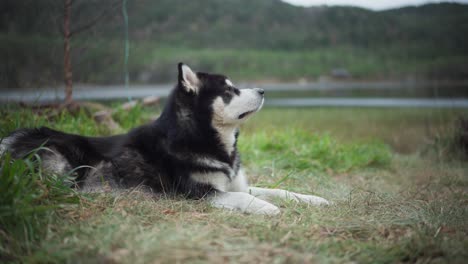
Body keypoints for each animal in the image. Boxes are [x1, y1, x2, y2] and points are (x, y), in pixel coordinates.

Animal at [0, 63, 330, 214]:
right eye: (228, 91)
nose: (263, 90)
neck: (205, 139)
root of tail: (13, 139)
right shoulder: (198, 193)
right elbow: (243, 198)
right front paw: (268, 209)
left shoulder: (235, 182)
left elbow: (278, 189)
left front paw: (314, 199)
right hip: (65, 164)